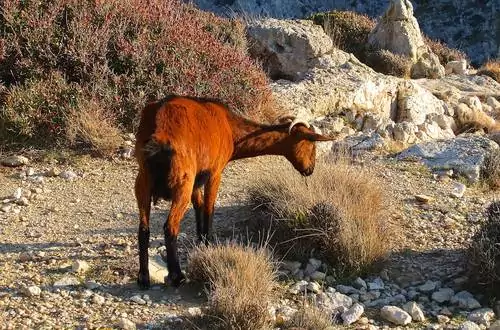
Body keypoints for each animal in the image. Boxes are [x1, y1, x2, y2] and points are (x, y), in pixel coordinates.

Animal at [135, 94, 334, 288]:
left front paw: (200, 243)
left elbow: (198, 205)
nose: (310, 170)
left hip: (144, 181)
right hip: (181, 183)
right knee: (170, 227)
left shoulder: (197, 179)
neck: (229, 127)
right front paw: (208, 244)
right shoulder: (214, 173)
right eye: (311, 145)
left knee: (144, 228)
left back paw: (143, 277)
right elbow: (209, 208)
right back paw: (177, 276)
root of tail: (159, 133)